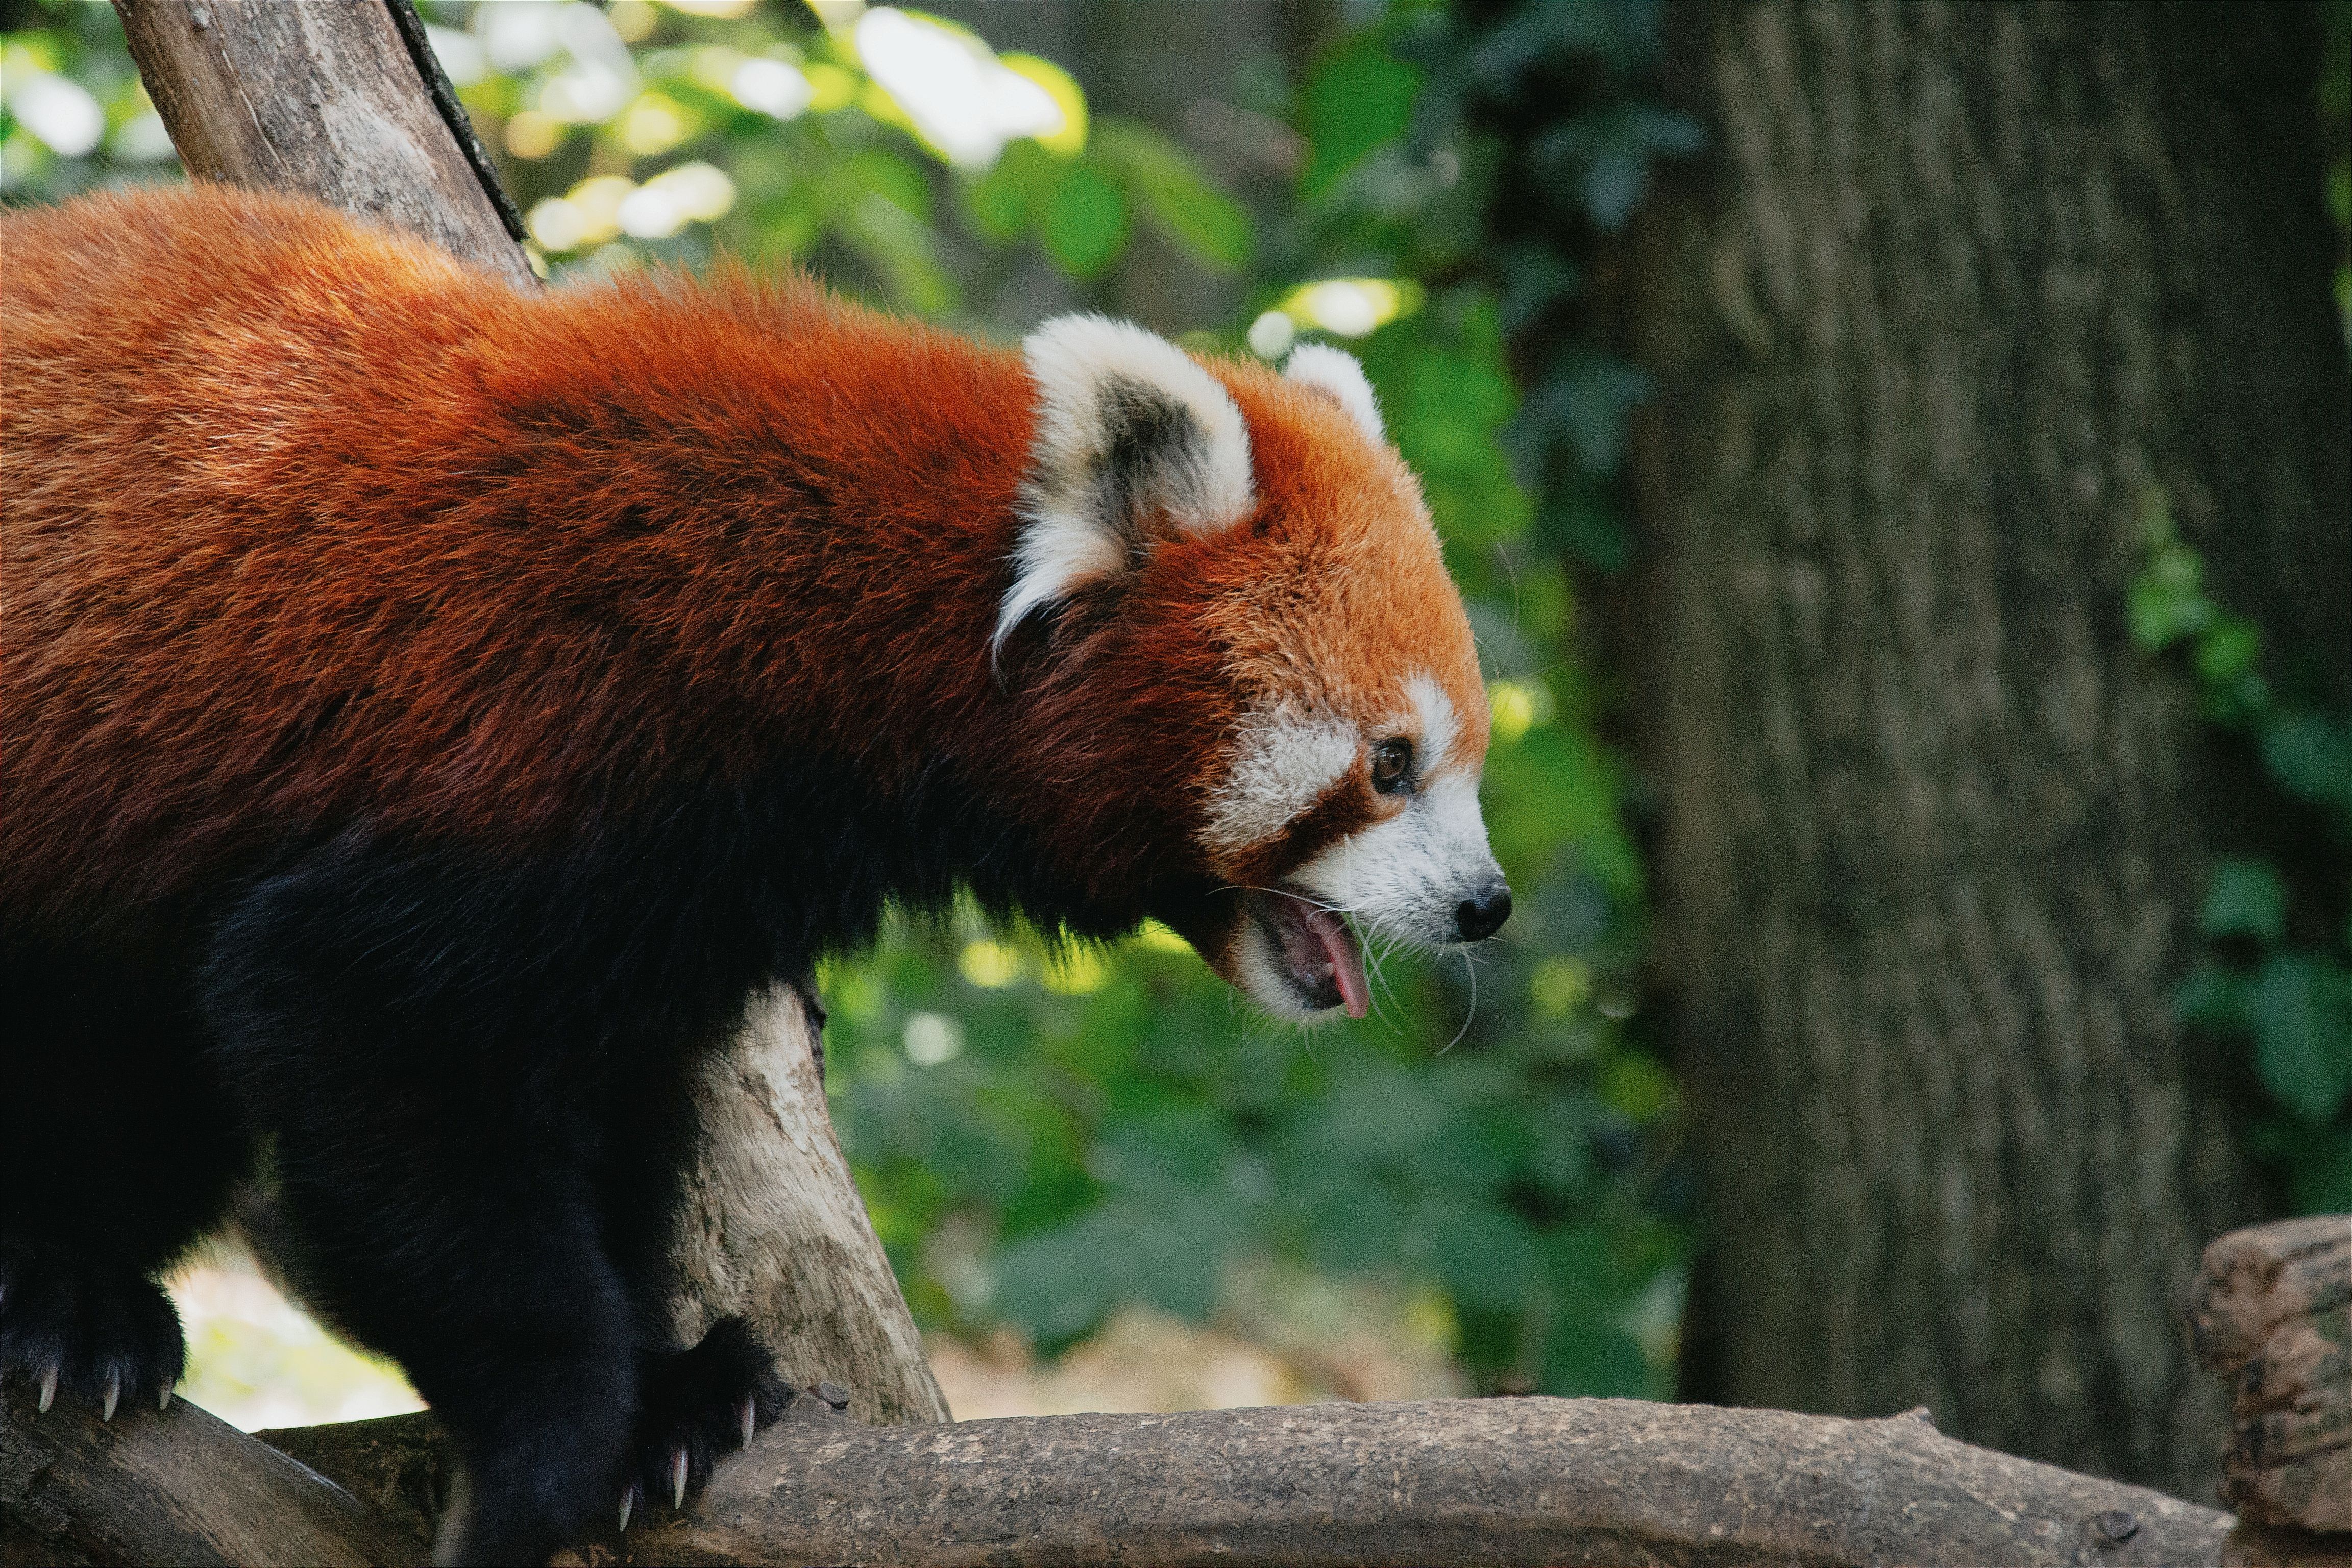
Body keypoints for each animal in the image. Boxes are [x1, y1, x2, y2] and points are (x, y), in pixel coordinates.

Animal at [0, 183, 1511, 1563]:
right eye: (1391, 763)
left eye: (1467, 756)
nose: (1486, 904)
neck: (837, 616)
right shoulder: (547, 743)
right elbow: (347, 1023)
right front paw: (557, 1437)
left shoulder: (676, 909)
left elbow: (608, 1115)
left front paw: (665, 1390)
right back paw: (66, 1295)